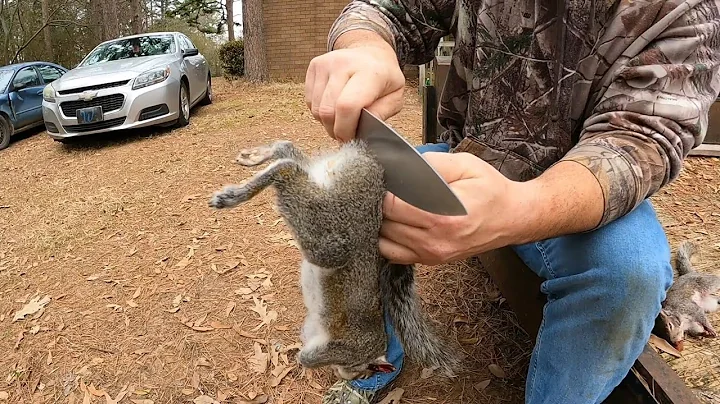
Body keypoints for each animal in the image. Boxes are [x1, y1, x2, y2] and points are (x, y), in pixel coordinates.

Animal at [208, 139, 462, 379]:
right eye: (366, 372)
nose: (346, 376)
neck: (371, 352)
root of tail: (370, 165)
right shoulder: (351, 346)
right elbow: (312, 356)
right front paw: (306, 359)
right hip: (335, 234)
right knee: (288, 169)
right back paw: (235, 194)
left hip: (323, 188)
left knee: (289, 153)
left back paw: (254, 157)